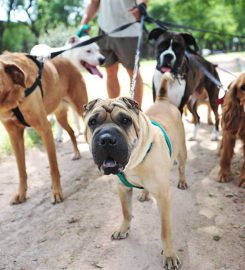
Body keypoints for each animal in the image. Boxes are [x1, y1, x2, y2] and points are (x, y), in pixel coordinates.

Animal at [0, 52, 88, 205]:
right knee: (71, 132)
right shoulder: (14, 136)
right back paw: (76, 153)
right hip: (60, 117)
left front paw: (56, 192)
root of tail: (67, 59)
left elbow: (53, 167)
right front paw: (21, 193)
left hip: (81, 108)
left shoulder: (44, 128)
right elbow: (21, 169)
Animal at [83, 74, 188, 270]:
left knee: (182, 166)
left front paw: (169, 254)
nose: (106, 139)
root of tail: (163, 100)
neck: (134, 162)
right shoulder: (122, 189)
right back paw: (144, 193)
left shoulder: (163, 197)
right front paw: (123, 229)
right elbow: (126, 211)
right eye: (92, 122)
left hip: (182, 151)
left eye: (125, 120)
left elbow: (165, 231)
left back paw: (183, 181)